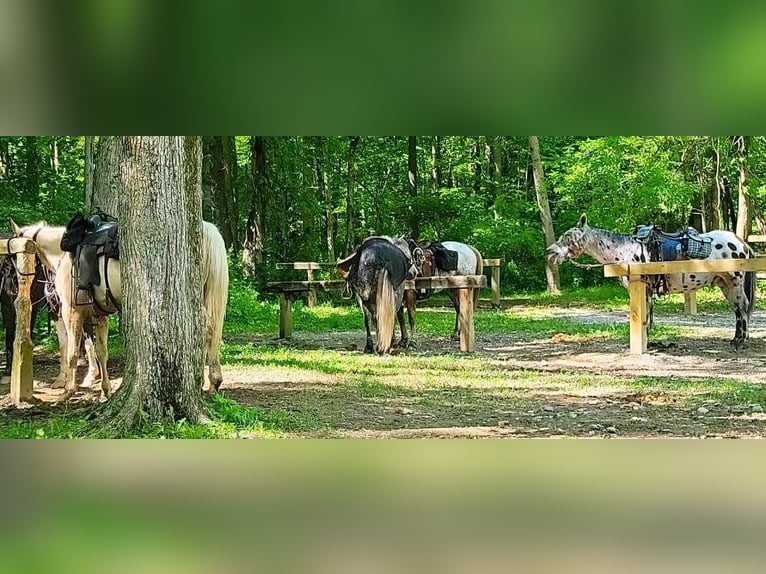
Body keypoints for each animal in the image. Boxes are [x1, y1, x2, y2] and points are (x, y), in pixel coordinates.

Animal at [12, 219, 228, 400]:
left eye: (13, 255)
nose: (16, 283)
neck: (66, 253)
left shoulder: (71, 312)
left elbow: (72, 350)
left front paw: (68, 390)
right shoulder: (99, 315)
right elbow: (101, 352)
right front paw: (105, 391)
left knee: (202, 330)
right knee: (208, 331)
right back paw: (210, 381)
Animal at [548, 214, 760, 348]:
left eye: (569, 237)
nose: (550, 252)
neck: (626, 250)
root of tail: (742, 243)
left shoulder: (643, 289)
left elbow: (645, 318)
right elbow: (647, 318)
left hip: (735, 283)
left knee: (742, 307)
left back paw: (741, 340)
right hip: (725, 284)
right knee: (737, 309)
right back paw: (737, 338)